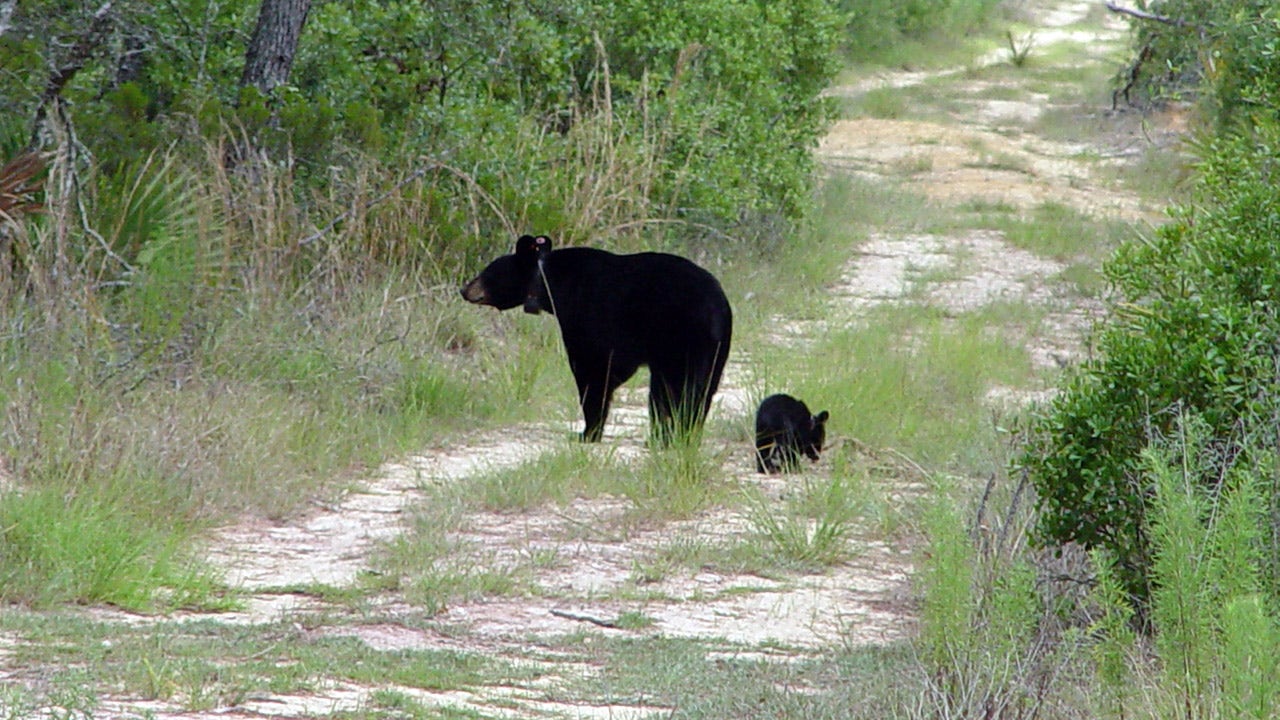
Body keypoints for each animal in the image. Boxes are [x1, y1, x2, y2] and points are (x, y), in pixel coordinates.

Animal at [461, 234, 733, 445]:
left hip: (679, 339)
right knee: (700, 391)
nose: (464, 289)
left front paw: (587, 432)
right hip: (716, 350)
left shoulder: (587, 315)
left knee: (675, 389)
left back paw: (667, 437)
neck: (549, 283)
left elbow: (592, 369)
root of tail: (718, 309)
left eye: (487, 272)